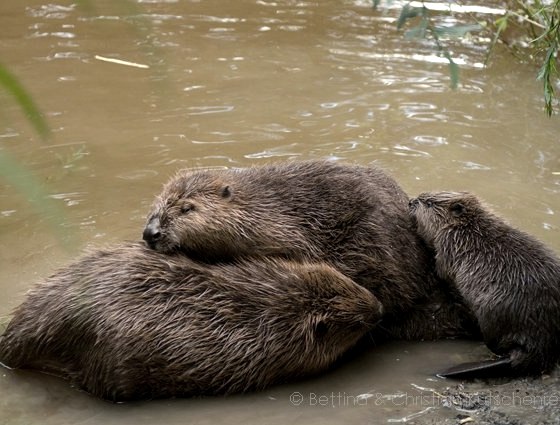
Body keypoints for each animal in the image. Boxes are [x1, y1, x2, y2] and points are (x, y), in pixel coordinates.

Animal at [410, 190, 560, 372]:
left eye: (429, 203)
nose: (410, 202)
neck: (468, 228)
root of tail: (537, 349)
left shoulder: (448, 243)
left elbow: (441, 269)